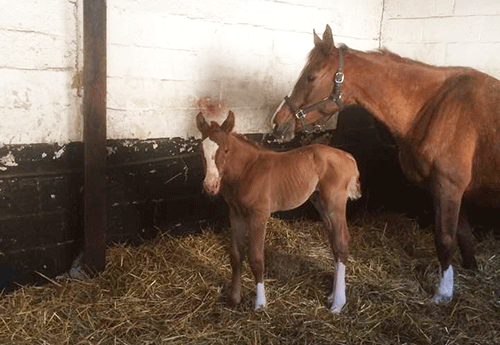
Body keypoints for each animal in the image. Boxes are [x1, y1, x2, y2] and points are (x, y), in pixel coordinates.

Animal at [195, 110, 360, 312]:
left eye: (226, 150)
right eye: (201, 151)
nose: (210, 185)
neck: (247, 171)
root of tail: (348, 156)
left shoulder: (259, 215)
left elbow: (256, 258)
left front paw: (260, 303)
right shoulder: (236, 214)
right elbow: (235, 255)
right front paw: (234, 299)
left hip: (335, 202)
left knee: (342, 243)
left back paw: (338, 303)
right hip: (320, 202)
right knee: (335, 244)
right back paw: (332, 296)